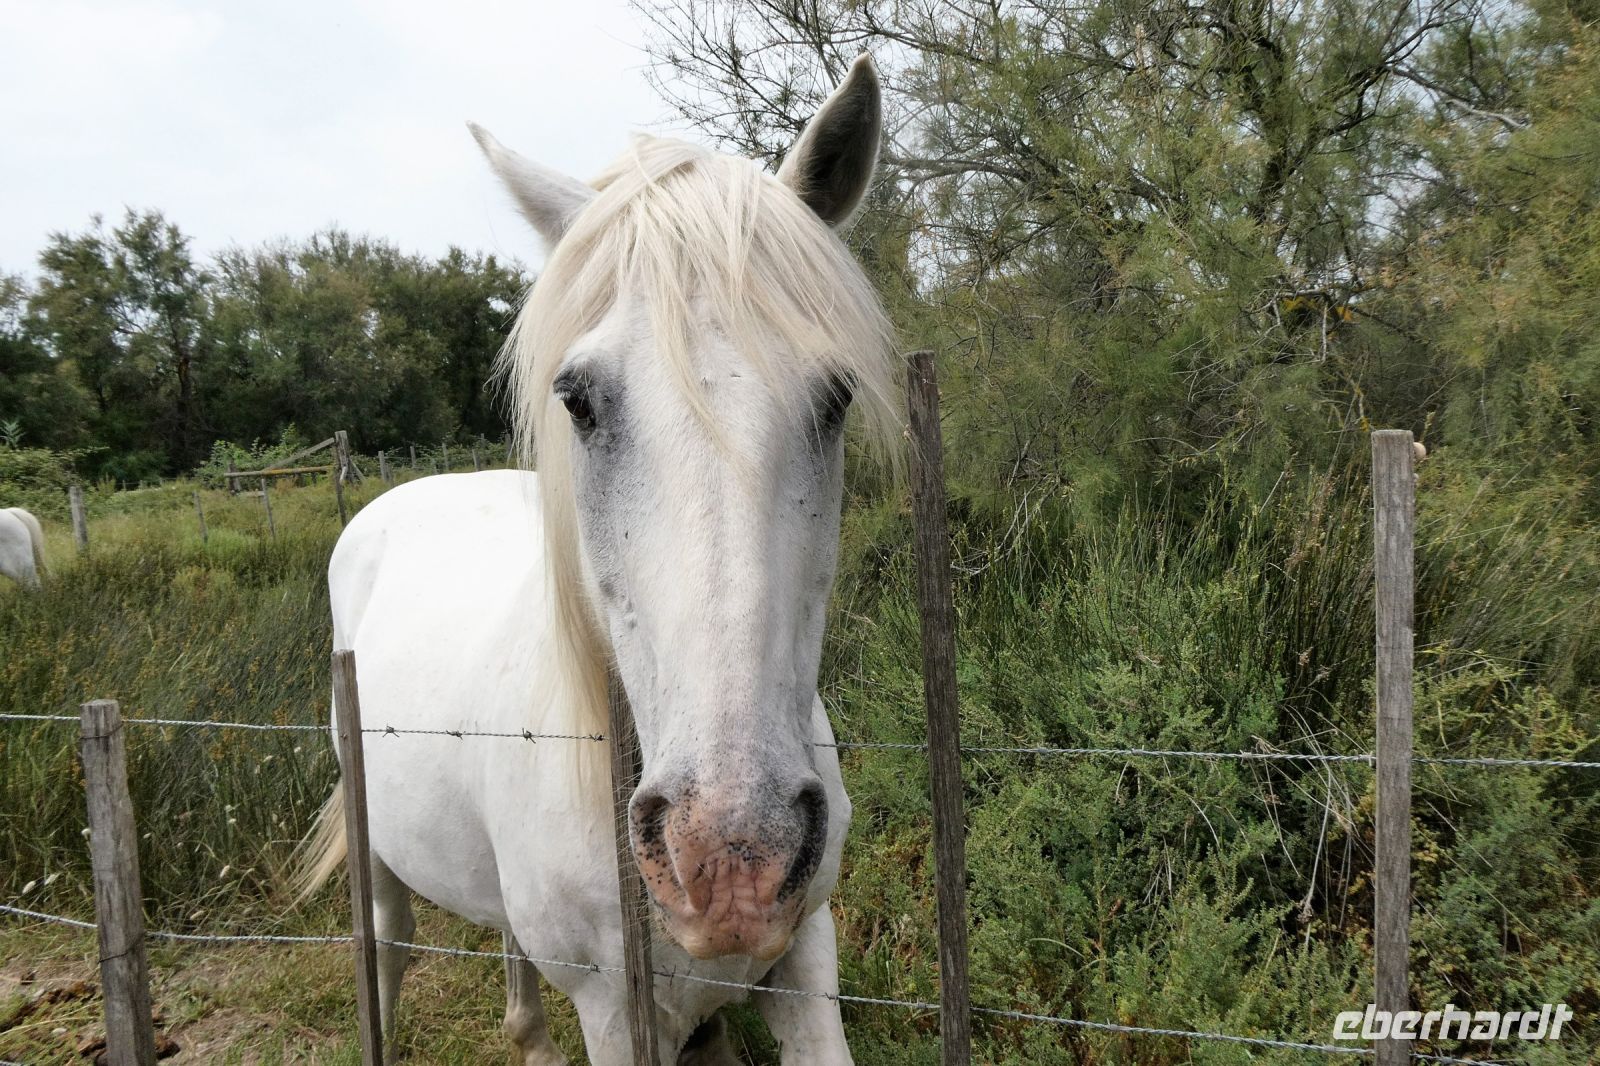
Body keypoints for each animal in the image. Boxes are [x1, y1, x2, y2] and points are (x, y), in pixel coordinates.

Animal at [294, 56, 895, 1063]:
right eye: (575, 399)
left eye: (836, 394)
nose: (732, 855)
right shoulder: (616, 1015)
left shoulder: (802, 962)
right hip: (375, 843)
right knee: (387, 945)